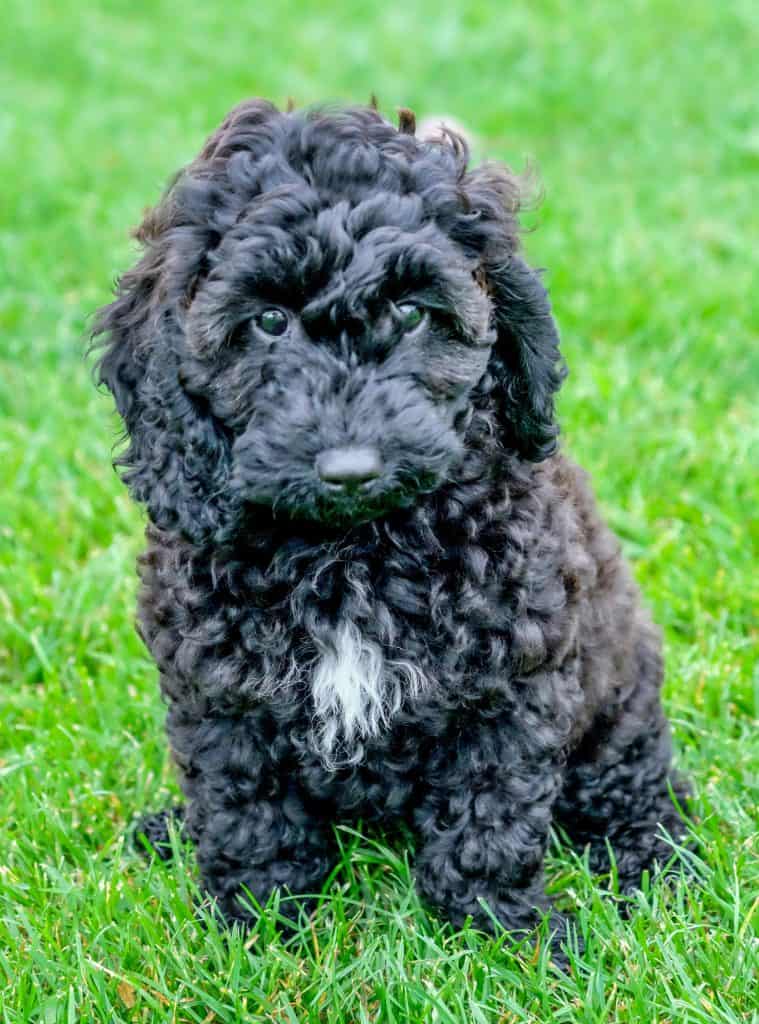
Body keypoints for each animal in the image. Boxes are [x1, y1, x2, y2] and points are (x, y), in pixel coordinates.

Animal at [93, 97, 688, 950]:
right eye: (267, 321)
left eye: (410, 312)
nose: (350, 469)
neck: (349, 555)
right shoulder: (219, 690)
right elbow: (248, 810)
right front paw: (255, 929)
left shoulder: (510, 682)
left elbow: (488, 816)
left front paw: (505, 937)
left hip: (620, 692)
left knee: (637, 782)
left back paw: (652, 862)